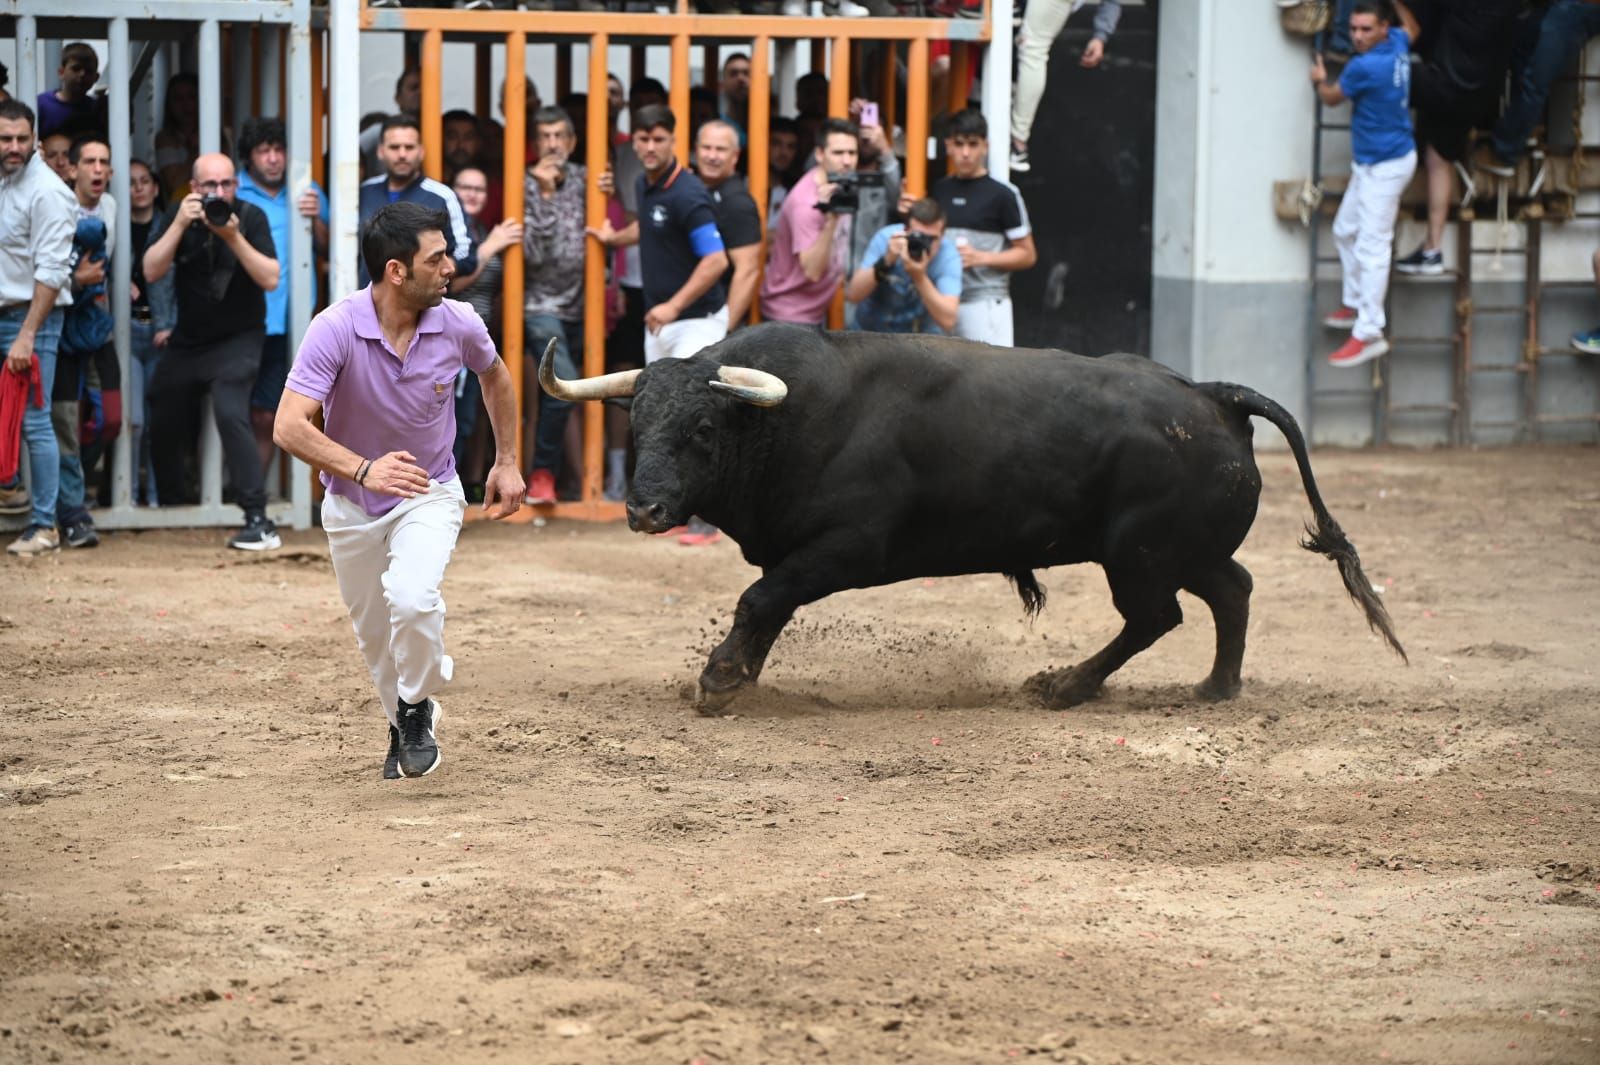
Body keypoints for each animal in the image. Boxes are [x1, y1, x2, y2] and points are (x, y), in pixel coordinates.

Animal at [544, 321, 1408, 703]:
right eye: (636, 422)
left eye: (702, 430)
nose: (644, 507)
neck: (788, 419)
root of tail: (1212, 396)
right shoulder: (803, 553)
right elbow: (770, 605)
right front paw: (739, 673)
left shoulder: (845, 547)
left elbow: (761, 598)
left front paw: (720, 679)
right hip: (1181, 551)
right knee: (1233, 590)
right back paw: (1215, 687)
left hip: (1139, 556)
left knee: (1156, 616)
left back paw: (1064, 685)